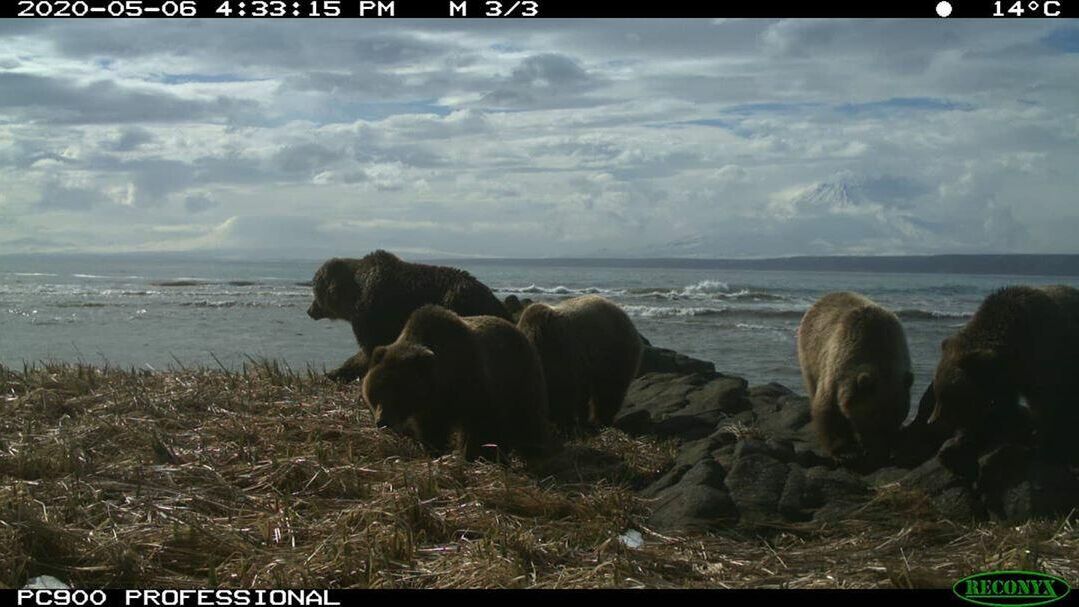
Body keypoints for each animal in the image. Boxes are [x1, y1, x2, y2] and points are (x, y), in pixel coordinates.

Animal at [308, 249, 509, 381]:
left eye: (315, 288)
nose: (310, 310)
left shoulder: (372, 317)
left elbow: (370, 350)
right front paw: (335, 372)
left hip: (458, 304)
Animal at [362, 304, 556, 461]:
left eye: (398, 392)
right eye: (376, 391)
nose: (382, 421)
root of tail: (519, 331)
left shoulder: (474, 385)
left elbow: (482, 426)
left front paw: (477, 455)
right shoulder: (431, 408)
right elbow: (431, 431)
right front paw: (433, 452)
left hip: (520, 378)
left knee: (527, 418)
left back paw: (535, 452)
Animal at [513, 295, 638, 431]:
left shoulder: (561, 356)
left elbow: (563, 395)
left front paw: (563, 424)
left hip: (614, 353)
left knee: (609, 390)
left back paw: (601, 420)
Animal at [927, 284, 1079, 461]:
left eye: (947, 396)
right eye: (937, 393)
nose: (931, 421)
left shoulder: (1043, 355)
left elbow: (1044, 401)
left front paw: (1043, 443)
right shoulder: (1008, 376)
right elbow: (1005, 403)